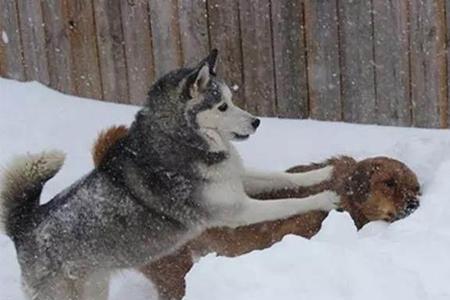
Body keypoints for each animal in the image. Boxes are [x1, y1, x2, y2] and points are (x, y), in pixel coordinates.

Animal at [0, 50, 338, 298]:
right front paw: (324, 197)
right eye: (222, 106)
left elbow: (282, 177)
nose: (256, 121)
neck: (184, 140)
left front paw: (321, 173)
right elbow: (288, 203)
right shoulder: (236, 210)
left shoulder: (235, 180)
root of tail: (23, 224)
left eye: (232, 100)